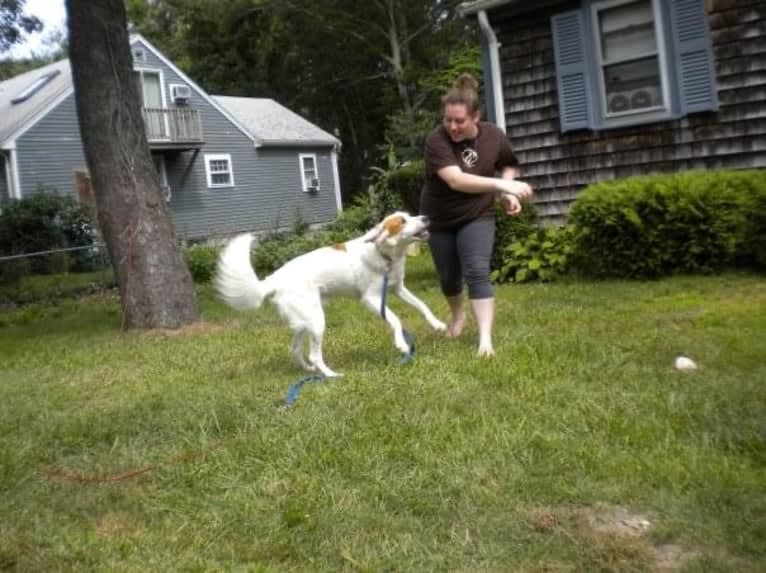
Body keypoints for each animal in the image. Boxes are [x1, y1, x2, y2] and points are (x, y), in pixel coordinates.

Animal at [213, 212, 448, 378]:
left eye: (411, 215)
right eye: (402, 221)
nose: (426, 217)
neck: (385, 255)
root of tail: (274, 279)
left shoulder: (397, 288)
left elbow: (422, 305)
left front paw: (437, 324)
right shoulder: (371, 299)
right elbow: (396, 319)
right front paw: (401, 344)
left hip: (305, 321)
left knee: (295, 350)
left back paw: (310, 370)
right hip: (317, 320)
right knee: (314, 355)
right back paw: (330, 375)